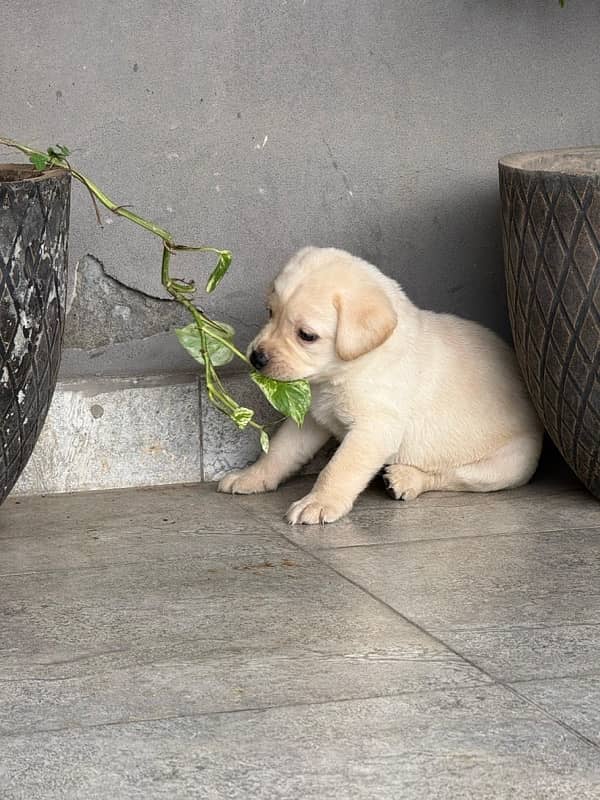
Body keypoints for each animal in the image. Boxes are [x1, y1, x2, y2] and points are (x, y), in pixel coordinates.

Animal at [217, 248, 544, 524]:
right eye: (270, 312)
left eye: (306, 335)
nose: (256, 358)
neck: (347, 370)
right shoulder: (310, 418)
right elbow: (280, 451)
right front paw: (252, 476)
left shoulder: (374, 429)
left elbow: (339, 468)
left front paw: (319, 502)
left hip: (507, 464)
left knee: (450, 477)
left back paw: (405, 479)